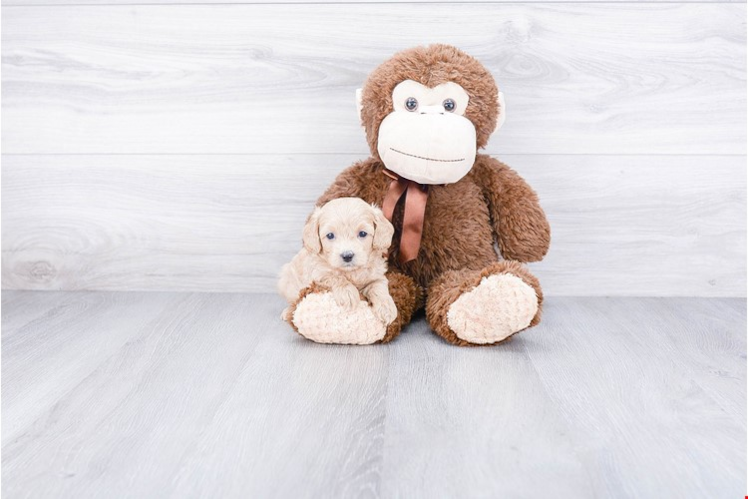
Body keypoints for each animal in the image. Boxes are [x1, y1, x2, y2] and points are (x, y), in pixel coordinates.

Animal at [280, 197, 398, 326]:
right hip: (287, 281)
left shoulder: (377, 275)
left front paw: (387, 308)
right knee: (294, 300)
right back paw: (288, 312)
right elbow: (335, 277)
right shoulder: (319, 274)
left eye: (362, 233)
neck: (351, 272)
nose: (347, 256)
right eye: (330, 235)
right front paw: (348, 293)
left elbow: (378, 287)